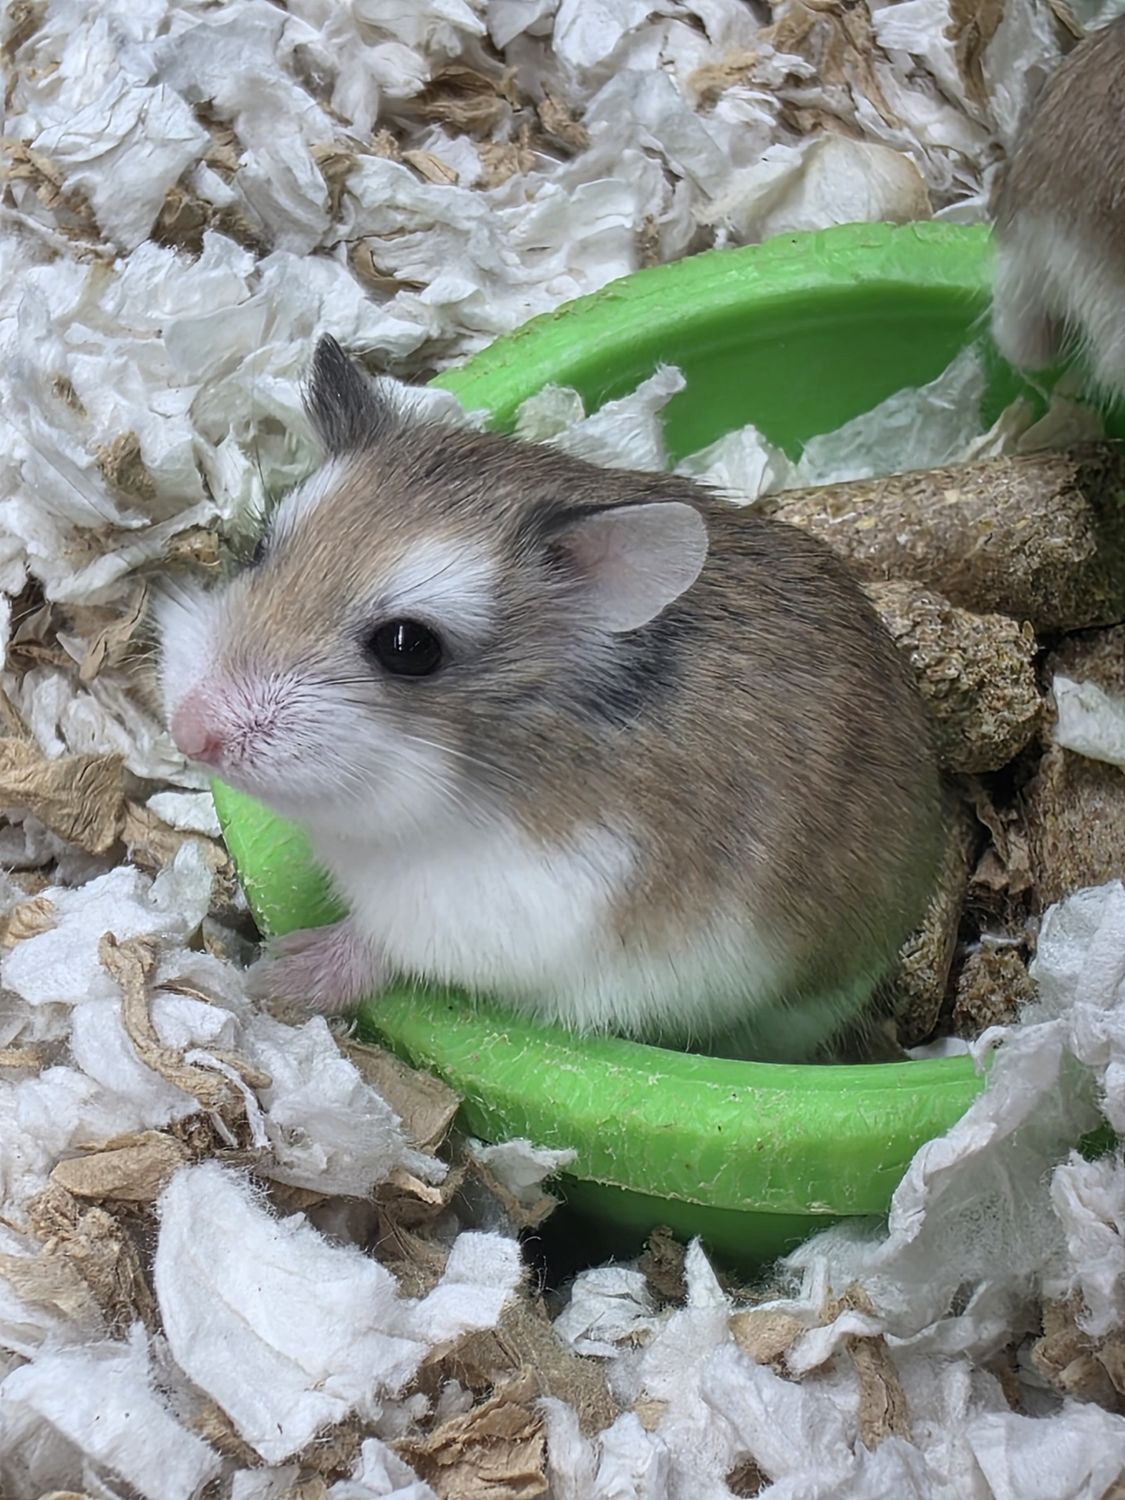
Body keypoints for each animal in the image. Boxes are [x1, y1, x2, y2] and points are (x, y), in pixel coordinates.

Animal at [157, 336, 943, 1063]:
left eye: (408, 646)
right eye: (263, 549)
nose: (189, 732)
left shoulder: (505, 906)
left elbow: (383, 944)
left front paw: (278, 972)